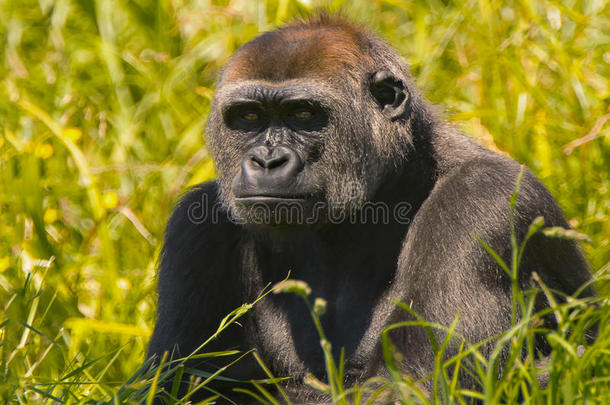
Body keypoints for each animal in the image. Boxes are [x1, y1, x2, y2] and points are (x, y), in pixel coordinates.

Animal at [145, 13, 592, 404]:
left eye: (304, 114)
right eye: (249, 117)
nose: (267, 161)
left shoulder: (481, 197)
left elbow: (414, 386)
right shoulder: (198, 223)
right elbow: (171, 383)